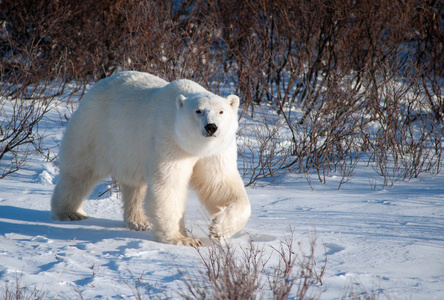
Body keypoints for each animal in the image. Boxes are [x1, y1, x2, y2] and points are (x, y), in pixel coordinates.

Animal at [50, 71, 251, 246]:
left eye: (221, 111)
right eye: (198, 111)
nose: (211, 127)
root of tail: (97, 85)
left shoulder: (215, 151)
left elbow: (220, 184)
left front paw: (219, 227)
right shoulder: (169, 141)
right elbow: (169, 186)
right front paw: (183, 239)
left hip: (130, 150)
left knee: (135, 184)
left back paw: (138, 221)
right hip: (94, 129)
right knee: (80, 171)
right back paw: (70, 213)